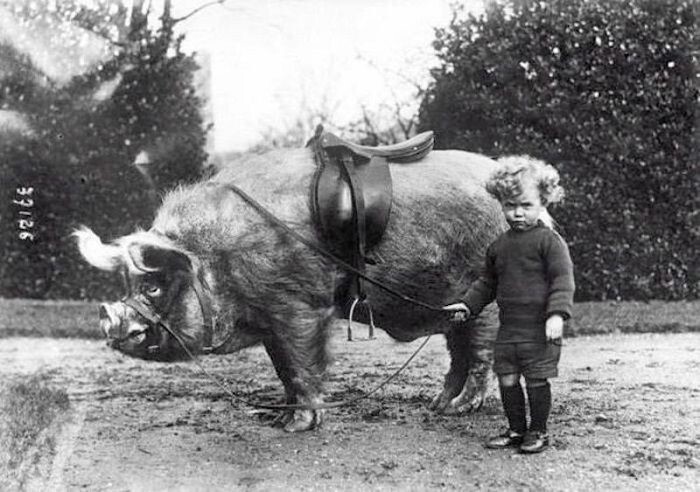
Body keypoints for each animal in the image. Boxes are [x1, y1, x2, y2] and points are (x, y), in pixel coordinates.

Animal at [75, 146, 504, 430]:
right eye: (129, 284)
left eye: (153, 287)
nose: (107, 317)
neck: (220, 255)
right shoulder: (270, 317)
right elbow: (282, 368)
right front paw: (278, 417)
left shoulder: (300, 305)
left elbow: (301, 364)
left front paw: (297, 426)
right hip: (453, 306)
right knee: (458, 354)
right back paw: (437, 405)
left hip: (485, 301)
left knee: (480, 355)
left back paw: (460, 409)